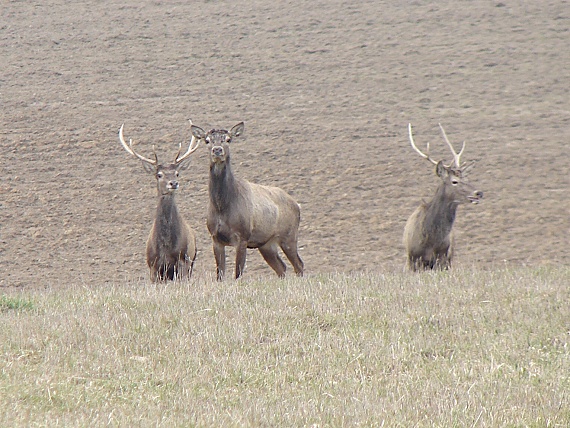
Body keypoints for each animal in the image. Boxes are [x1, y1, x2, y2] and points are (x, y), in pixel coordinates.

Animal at [117, 123, 200, 280]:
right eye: (159, 174)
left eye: (177, 173)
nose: (173, 183)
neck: (166, 246)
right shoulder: (153, 266)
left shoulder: (182, 261)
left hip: (191, 261)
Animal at [189, 121, 304, 280]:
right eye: (206, 140)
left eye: (228, 139)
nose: (217, 150)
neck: (222, 208)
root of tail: (297, 205)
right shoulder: (215, 238)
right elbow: (220, 275)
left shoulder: (242, 236)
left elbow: (238, 274)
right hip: (266, 244)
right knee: (281, 267)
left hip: (289, 235)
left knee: (299, 265)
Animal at [402, 123, 482, 270]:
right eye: (454, 181)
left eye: (467, 178)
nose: (478, 193)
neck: (429, 240)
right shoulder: (413, 258)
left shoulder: (443, 256)